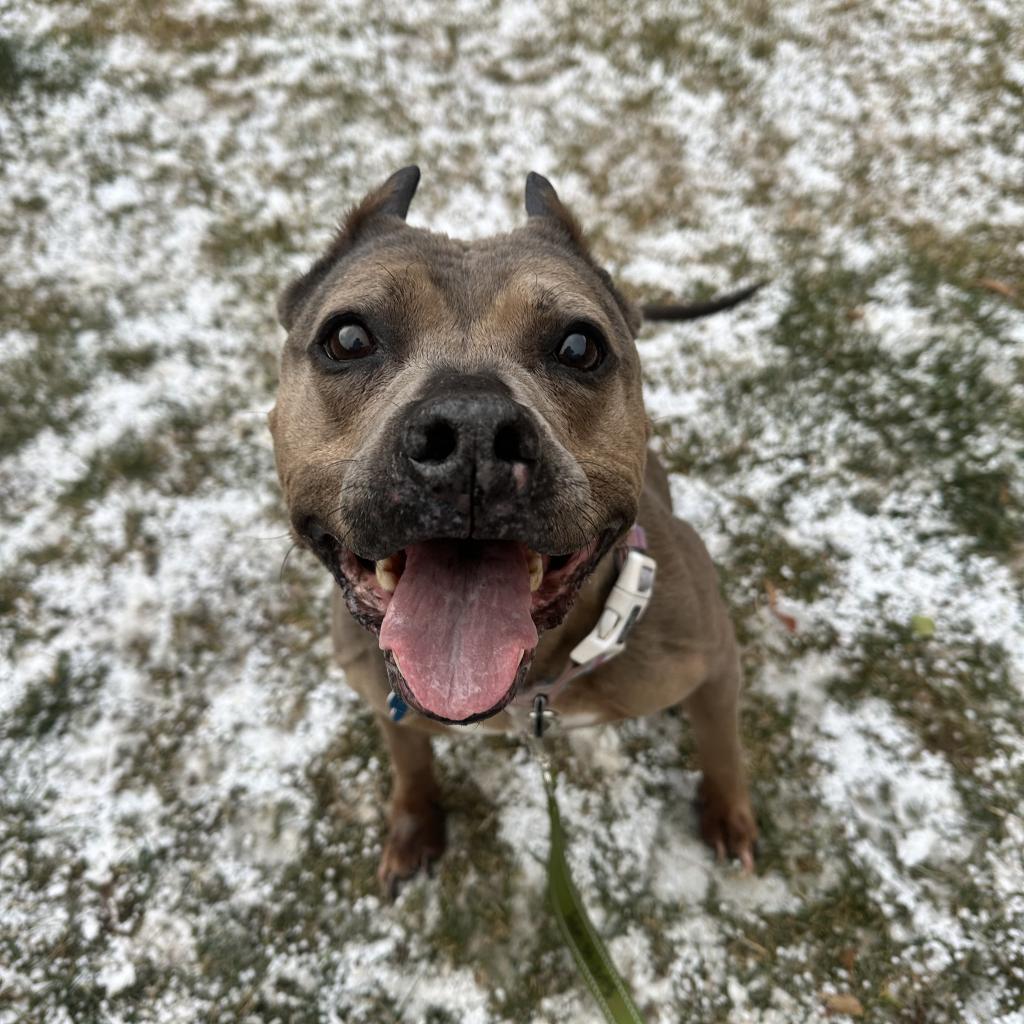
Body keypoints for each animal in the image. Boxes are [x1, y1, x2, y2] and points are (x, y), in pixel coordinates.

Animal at [268, 167, 757, 897]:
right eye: (348, 338)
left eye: (580, 347)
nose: (471, 432)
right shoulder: (384, 702)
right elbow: (409, 763)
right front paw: (413, 828)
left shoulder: (715, 661)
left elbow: (723, 745)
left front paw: (728, 813)